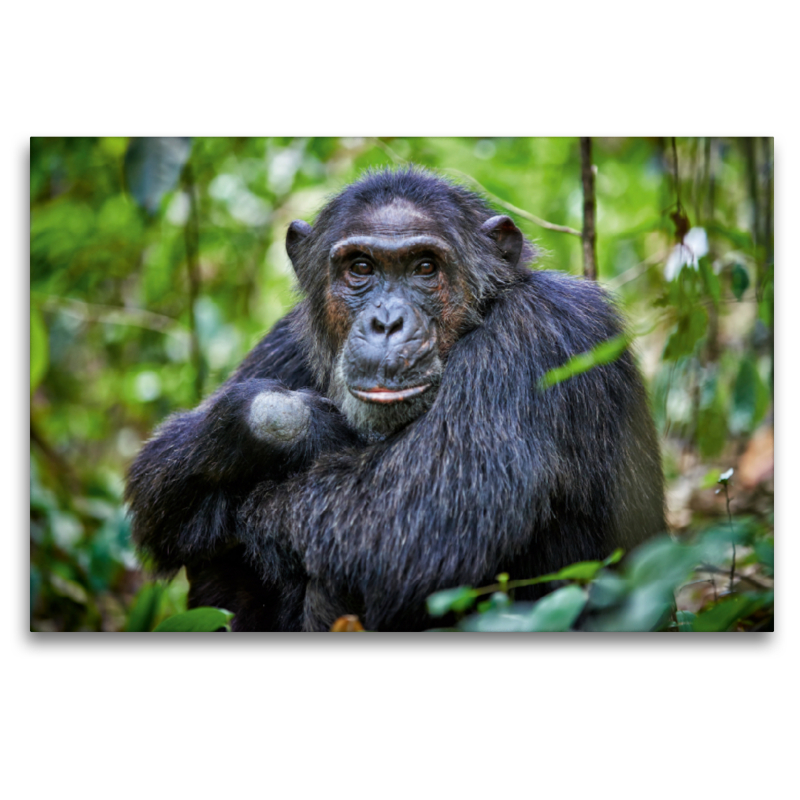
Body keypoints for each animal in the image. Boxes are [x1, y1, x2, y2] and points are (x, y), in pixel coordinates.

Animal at [123, 167, 664, 632]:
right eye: (360, 267)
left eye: (425, 267)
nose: (387, 321)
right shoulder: (286, 340)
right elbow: (158, 472)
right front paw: (306, 425)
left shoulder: (543, 332)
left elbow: (411, 526)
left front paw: (275, 493)